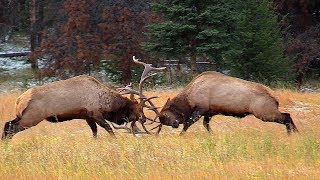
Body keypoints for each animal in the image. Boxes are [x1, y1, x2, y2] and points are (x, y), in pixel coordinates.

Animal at [2, 56, 166, 139]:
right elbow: (109, 129)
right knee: (11, 128)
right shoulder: (95, 113)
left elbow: (94, 133)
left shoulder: (87, 116)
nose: (143, 118)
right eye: (139, 108)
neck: (106, 103)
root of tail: (19, 100)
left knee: (7, 124)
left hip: (22, 116)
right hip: (32, 117)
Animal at [160, 71, 300, 135]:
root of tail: (275, 98)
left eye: (164, 116)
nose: (174, 125)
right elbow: (206, 125)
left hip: (264, 113)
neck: (188, 98)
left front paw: (180, 135)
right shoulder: (209, 112)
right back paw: (296, 133)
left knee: (286, 116)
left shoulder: (200, 109)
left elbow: (187, 124)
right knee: (287, 115)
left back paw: (291, 133)